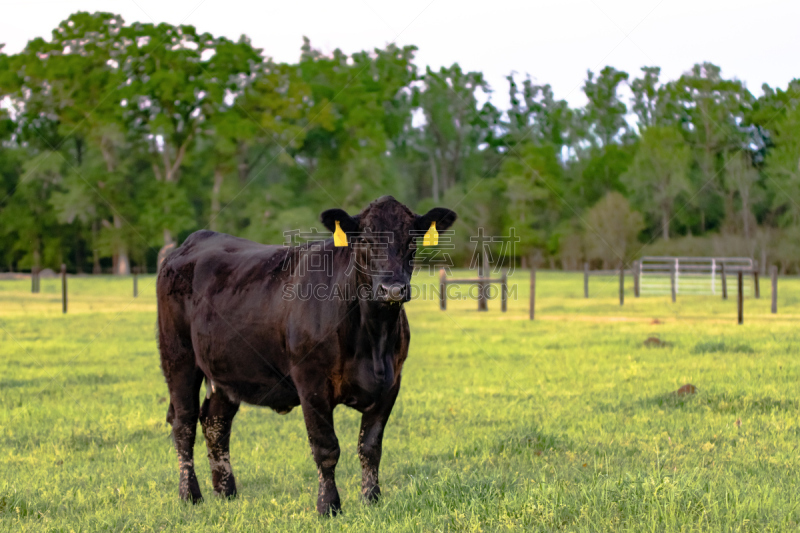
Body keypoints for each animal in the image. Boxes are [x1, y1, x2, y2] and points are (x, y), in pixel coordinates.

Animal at [157, 196, 456, 516]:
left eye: (412, 239)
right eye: (364, 239)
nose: (393, 289)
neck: (374, 339)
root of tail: (194, 240)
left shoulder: (391, 382)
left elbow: (370, 447)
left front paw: (371, 499)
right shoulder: (311, 381)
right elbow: (326, 447)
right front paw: (329, 506)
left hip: (227, 369)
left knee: (215, 423)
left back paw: (226, 492)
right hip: (178, 357)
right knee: (184, 423)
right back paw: (190, 494)